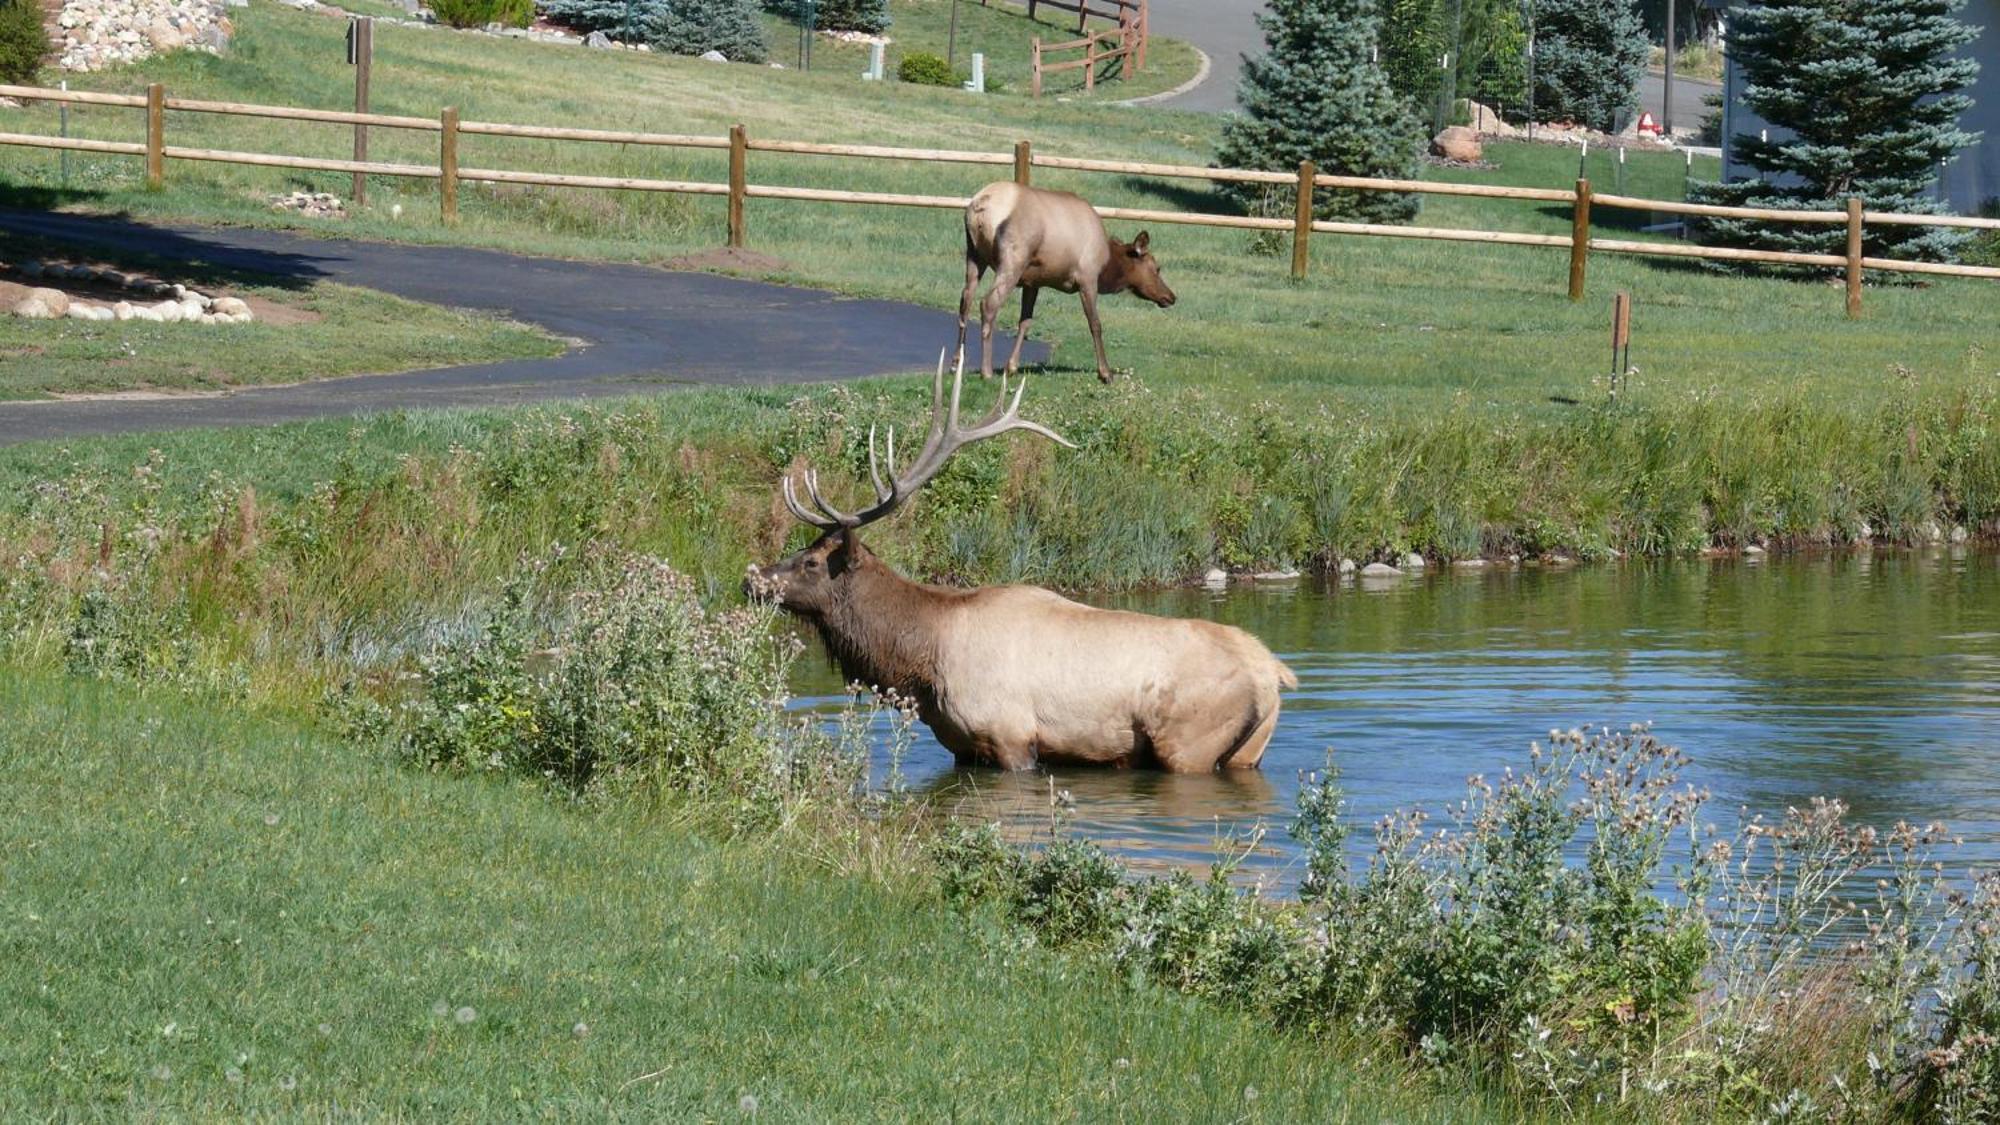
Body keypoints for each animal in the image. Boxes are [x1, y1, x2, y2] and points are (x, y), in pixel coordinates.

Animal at [748, 350, 1296, 768]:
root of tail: (1272, 671)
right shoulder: (961, 747)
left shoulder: (1011, 736)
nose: (752, 579)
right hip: (1249, 752)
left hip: (1189, 743)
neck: (922, 663)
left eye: (812, 563)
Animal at [956, 179, 1168, 380]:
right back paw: (986, 371)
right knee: (988, 303)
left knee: (965, 299)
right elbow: (1095, 324)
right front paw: (1105, 373)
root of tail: (981, 205)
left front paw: (1012, 367)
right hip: (1012, 261)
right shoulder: (1087, 278)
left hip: (974, 253)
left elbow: (1025, 321)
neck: (1107, 263)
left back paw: (956, 362)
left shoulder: (1033, 282)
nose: (1170, 296)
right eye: (1156, 268)